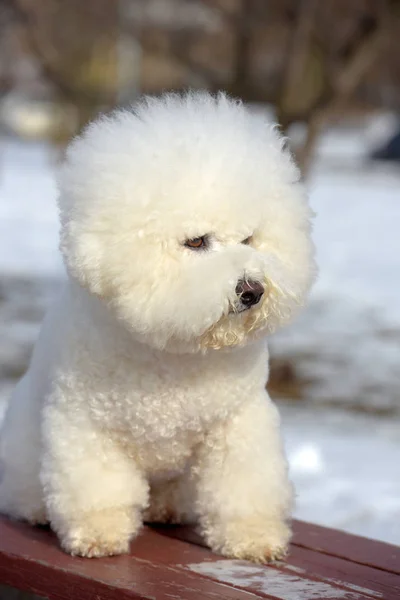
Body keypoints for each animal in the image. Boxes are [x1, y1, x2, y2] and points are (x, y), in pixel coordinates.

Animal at [0, 91, 316, 560]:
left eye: (250, 240)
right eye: (196, 241)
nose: (252, 290)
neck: (175, 353)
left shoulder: (238, 422)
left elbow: (243, 487)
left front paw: (253, 538)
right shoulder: (85, 426)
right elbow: (98, 488)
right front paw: (98, 534)